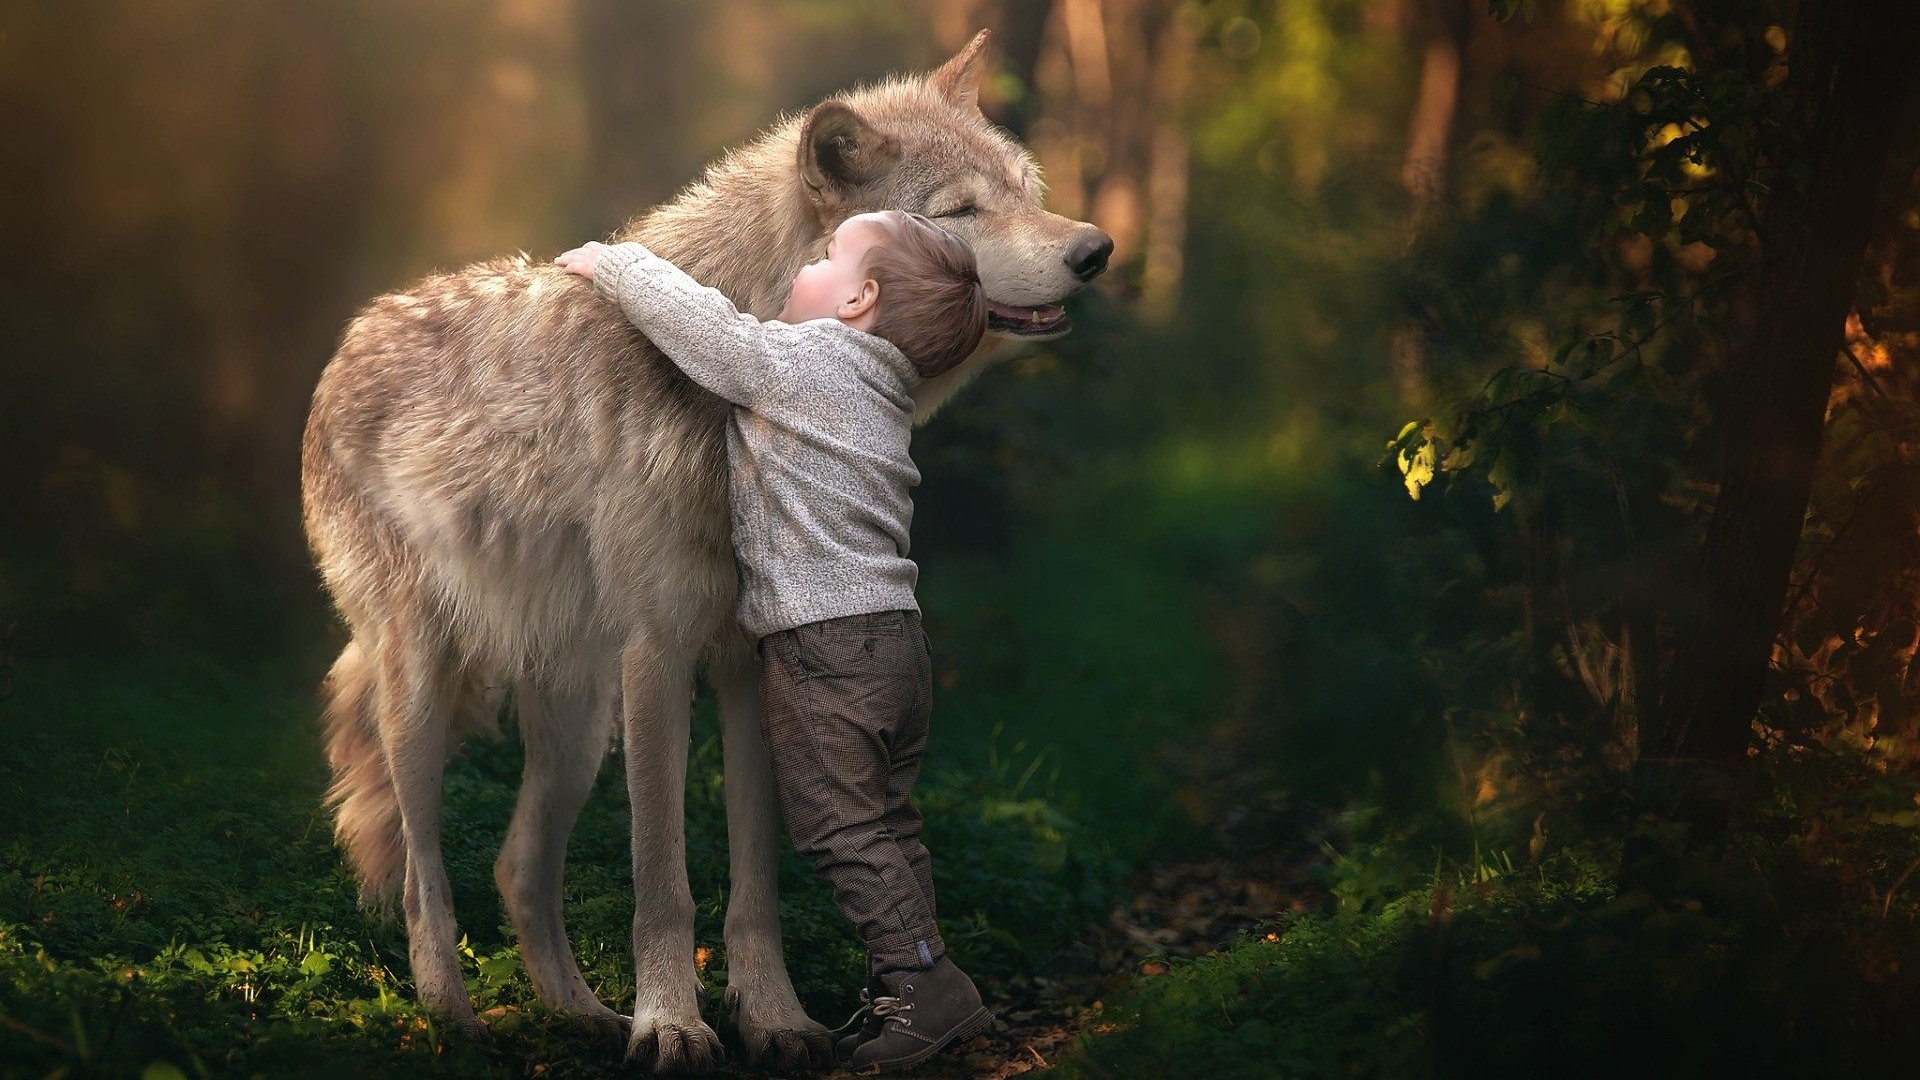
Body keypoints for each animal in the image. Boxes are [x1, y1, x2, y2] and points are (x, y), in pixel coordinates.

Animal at [299, 30, 1110, 1074]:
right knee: (422, 868)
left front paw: (773, 1019)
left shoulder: (750, 665)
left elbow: (754, 883)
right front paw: (673, 1026)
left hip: (576, 721)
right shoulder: (660, 655)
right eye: (962, 212)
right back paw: (452, 1020)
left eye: (1022, 188)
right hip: (425, 693)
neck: (733, 398)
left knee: (517, 865)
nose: (1095, 250)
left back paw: (580, 1016)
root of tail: (347, 340)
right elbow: (663, 881)